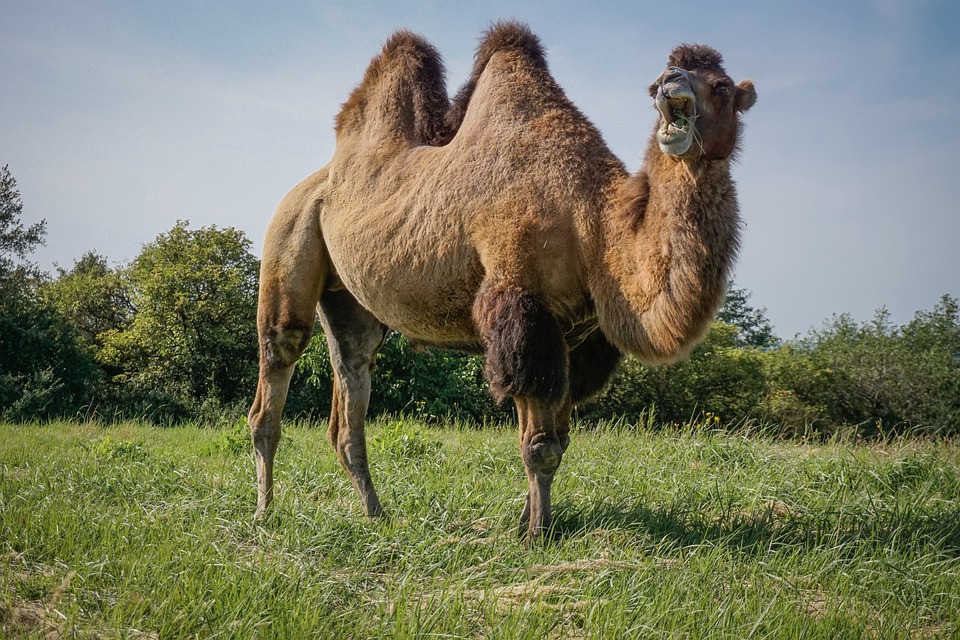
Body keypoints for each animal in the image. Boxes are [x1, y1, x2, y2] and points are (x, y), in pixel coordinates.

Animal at [249, 21, 756, 540]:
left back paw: (376, 513)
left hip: (351, 301)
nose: (670, 81)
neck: (595, 221)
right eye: (659, 83)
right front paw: (536, 534)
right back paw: (265, 511)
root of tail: (310, 184)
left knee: (350, 384)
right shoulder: (522, 309)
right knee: (276, 369)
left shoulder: (573, 339)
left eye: (721, 86)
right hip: (289, 236)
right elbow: (540, 446)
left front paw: (526, 522)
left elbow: (557, 440)